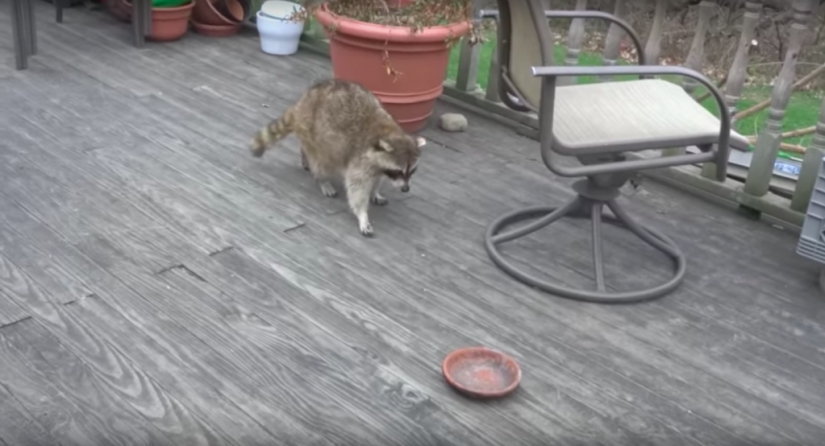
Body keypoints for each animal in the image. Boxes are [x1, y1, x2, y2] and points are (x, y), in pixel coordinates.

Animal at [248, 79, 427, 237]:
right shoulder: (360, 160)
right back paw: (321, 179)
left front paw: (376, 190)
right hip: (315, 137)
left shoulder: (379, 164)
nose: (405, 189)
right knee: (320, 162)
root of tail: (302, 103)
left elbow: (377, 179)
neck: (388, 133)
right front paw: (362, 215)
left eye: (412, 171)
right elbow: (357, 189)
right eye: (398, 171)